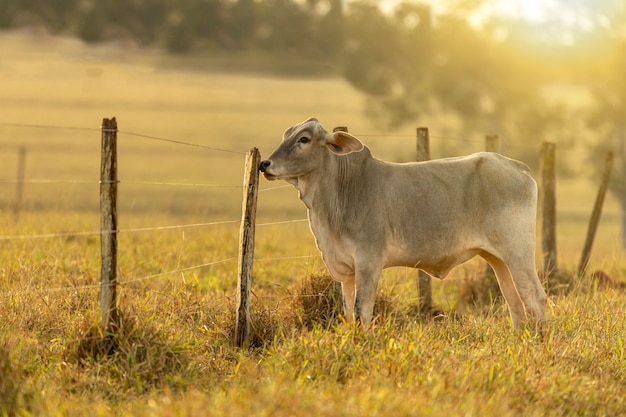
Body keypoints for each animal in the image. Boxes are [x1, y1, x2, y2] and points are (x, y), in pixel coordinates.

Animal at [260, 118, 544, 328]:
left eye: (304, 139)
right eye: (287, 135)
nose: (264, 164)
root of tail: (516, 166)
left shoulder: (368, 262)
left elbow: (362, 312)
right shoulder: (346, 271)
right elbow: (348, 313)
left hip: (518, 253)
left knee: (535, 298)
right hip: (497, 259)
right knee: (515, 303)